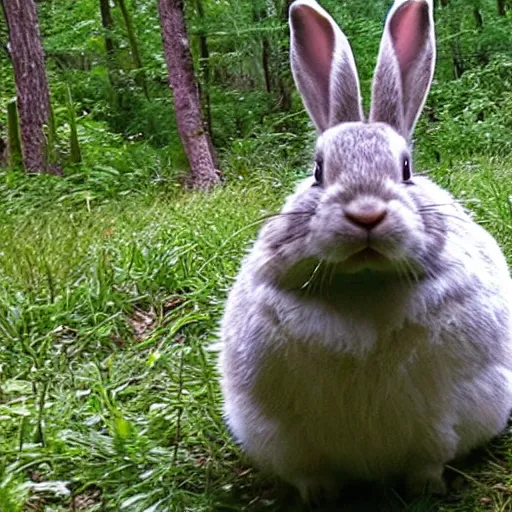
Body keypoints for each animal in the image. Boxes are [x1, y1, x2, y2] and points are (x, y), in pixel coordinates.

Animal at [219, 0, 512, 504]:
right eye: (318, 171)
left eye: (406, 169)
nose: (366, 214)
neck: (363, 282)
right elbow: (310, 474)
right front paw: (318, 497)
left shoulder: (444, 419)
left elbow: (428, 460)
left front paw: (426, 487)